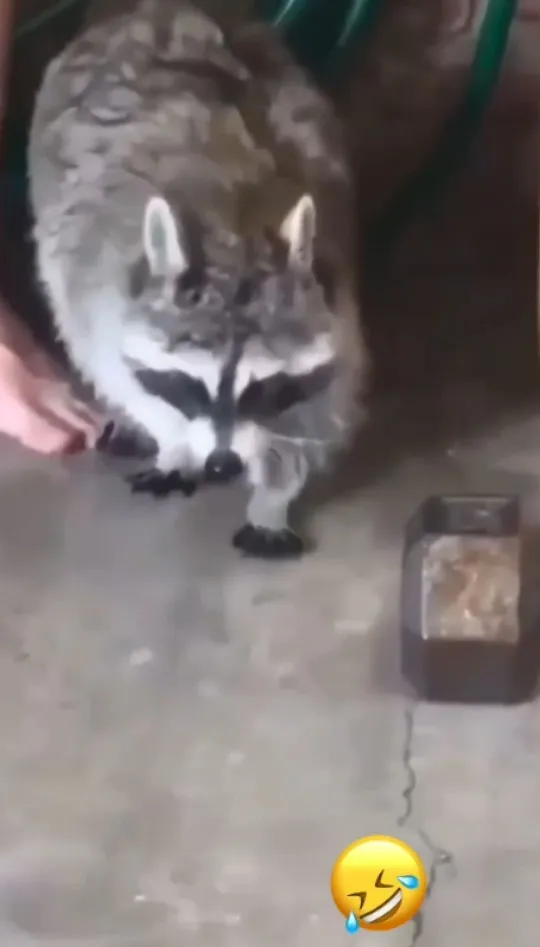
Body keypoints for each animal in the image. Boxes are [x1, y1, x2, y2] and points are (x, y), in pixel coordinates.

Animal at [28, 0, 369, 559]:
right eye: (191, 382)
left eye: (262, 387)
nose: (222, 464)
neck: (237, 234)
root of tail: (159, 9)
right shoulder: (99, 287)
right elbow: (121, 370)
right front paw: (176, 445)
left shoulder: (335, 294)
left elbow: (319, 404)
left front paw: (276, 487)